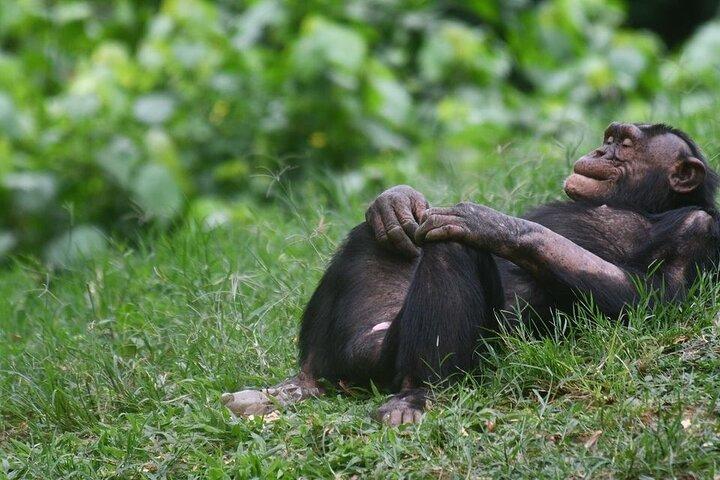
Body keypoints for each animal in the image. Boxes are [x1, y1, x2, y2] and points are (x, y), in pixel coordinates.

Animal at [222, 123, 719, 425]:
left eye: (625, 145)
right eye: (609, 138)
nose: (599, 150)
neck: (638, 204)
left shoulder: (699, 234)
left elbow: (649, 302)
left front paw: (489, 222)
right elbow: (408, 219)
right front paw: (397, 198)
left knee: (450, 246)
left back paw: (415, 397)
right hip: (372, 346)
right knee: (382, 239)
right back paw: (299, 384)